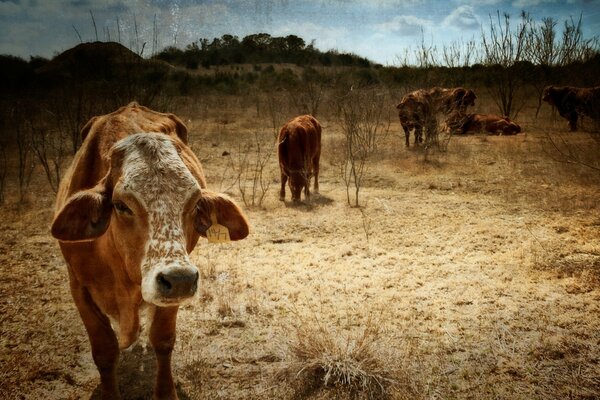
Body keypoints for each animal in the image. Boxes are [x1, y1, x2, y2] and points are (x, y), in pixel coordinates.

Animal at [50, 103, 250, 400]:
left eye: (194, 204)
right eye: (121, 206)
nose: (179, 279)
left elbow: (163, 340)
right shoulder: (78, 287)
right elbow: (104, 351)